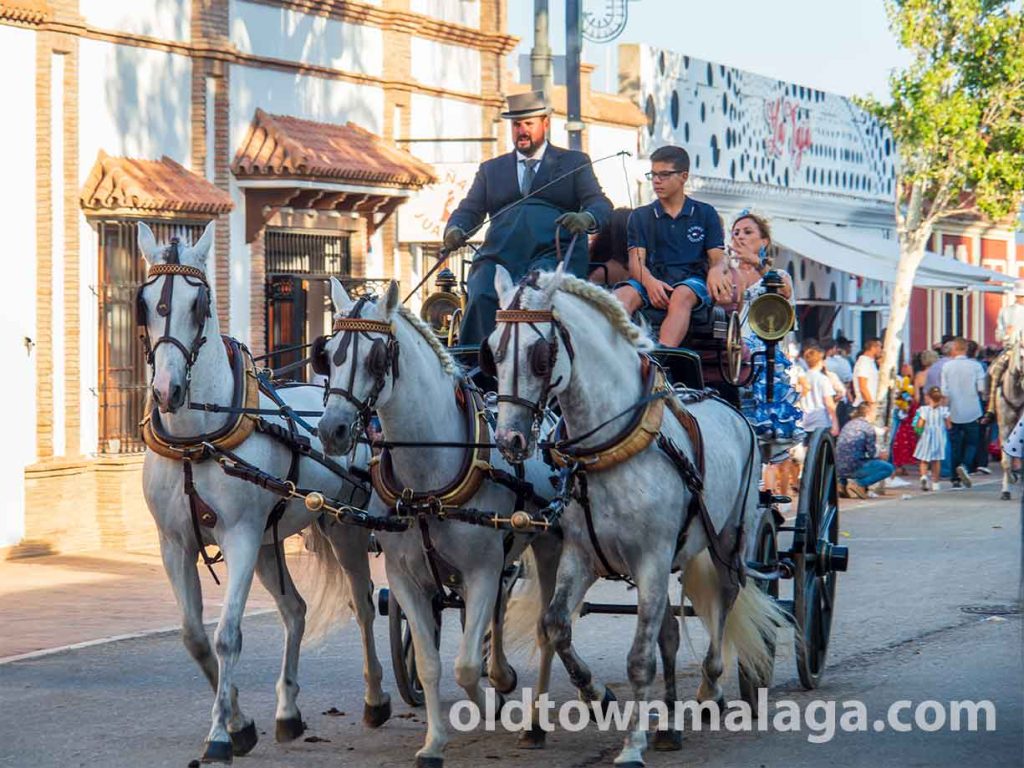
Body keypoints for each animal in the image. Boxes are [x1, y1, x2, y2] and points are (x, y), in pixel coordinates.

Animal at [136, 222, 391, 765]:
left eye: (200, 304)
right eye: (144, 303)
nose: (167, 390)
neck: (196, 439)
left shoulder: (241, 537)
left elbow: (228, 635)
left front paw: (219, 734)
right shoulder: (174, 544)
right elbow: (195, 638)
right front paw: (239, 722)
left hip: (340, 526)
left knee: (363, 603)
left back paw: (377, 697)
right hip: (273, 539)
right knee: (295, 609)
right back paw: (288, 712)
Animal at [315, 280, 606, 768]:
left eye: (377, 358)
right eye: (328, 353)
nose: (331, 430)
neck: (427, 474)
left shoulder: (481, 570)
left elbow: (466, 664)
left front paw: (489, 701)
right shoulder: (406, 578)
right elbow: (431, 662)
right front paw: (434, 742)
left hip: (547, 546)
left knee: (548, 626)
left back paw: (545, 710)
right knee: (502, 612)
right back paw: (506, 675)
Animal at [487, 268, 782, 765]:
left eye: (540, 355)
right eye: (491, 349)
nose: (509, 440)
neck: (612, 446)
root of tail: (731, 407)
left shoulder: (651, 559)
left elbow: (639, 658)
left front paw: (631, 744)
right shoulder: (581, 556)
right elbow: (556, 625)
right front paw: (596, 695)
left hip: (728, 540)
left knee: (725, 598)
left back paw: (709, 688)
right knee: (669, 633)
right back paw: (667, 722)